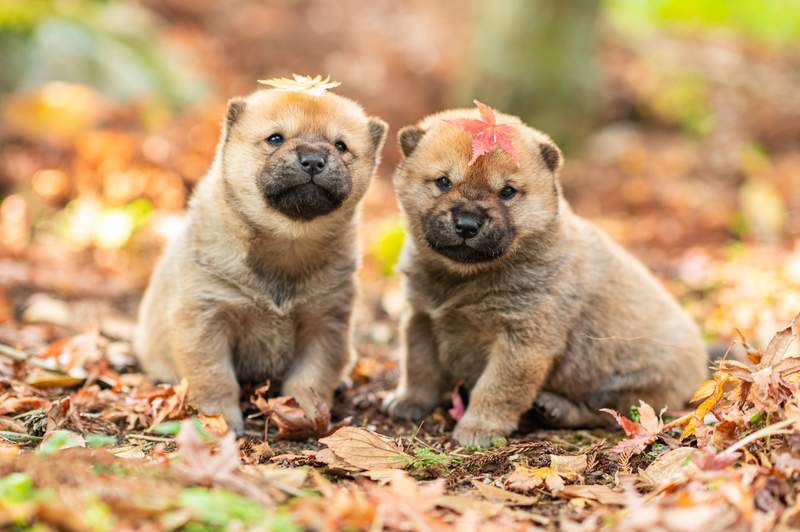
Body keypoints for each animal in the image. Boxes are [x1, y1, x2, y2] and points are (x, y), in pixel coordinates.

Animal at [134, 75, 388, 432]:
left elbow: (311, 379)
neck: (286, 242)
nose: (312, 159)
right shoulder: (206, 317)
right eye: (275, 138)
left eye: (340, 146)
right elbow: (214, 377)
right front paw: (220, 420)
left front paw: (305, 415)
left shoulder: (325, 322)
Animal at [382, 101, 708, 448]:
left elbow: (497, 388)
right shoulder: (421, 317)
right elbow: (418, 365)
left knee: (608, 413)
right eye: (443, 182)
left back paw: (556, 408)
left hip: (635, 382)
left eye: (507, 192)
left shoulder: (524, 340)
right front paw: (408, 401)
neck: (464, 278)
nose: (468, 224)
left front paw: (478, 428)